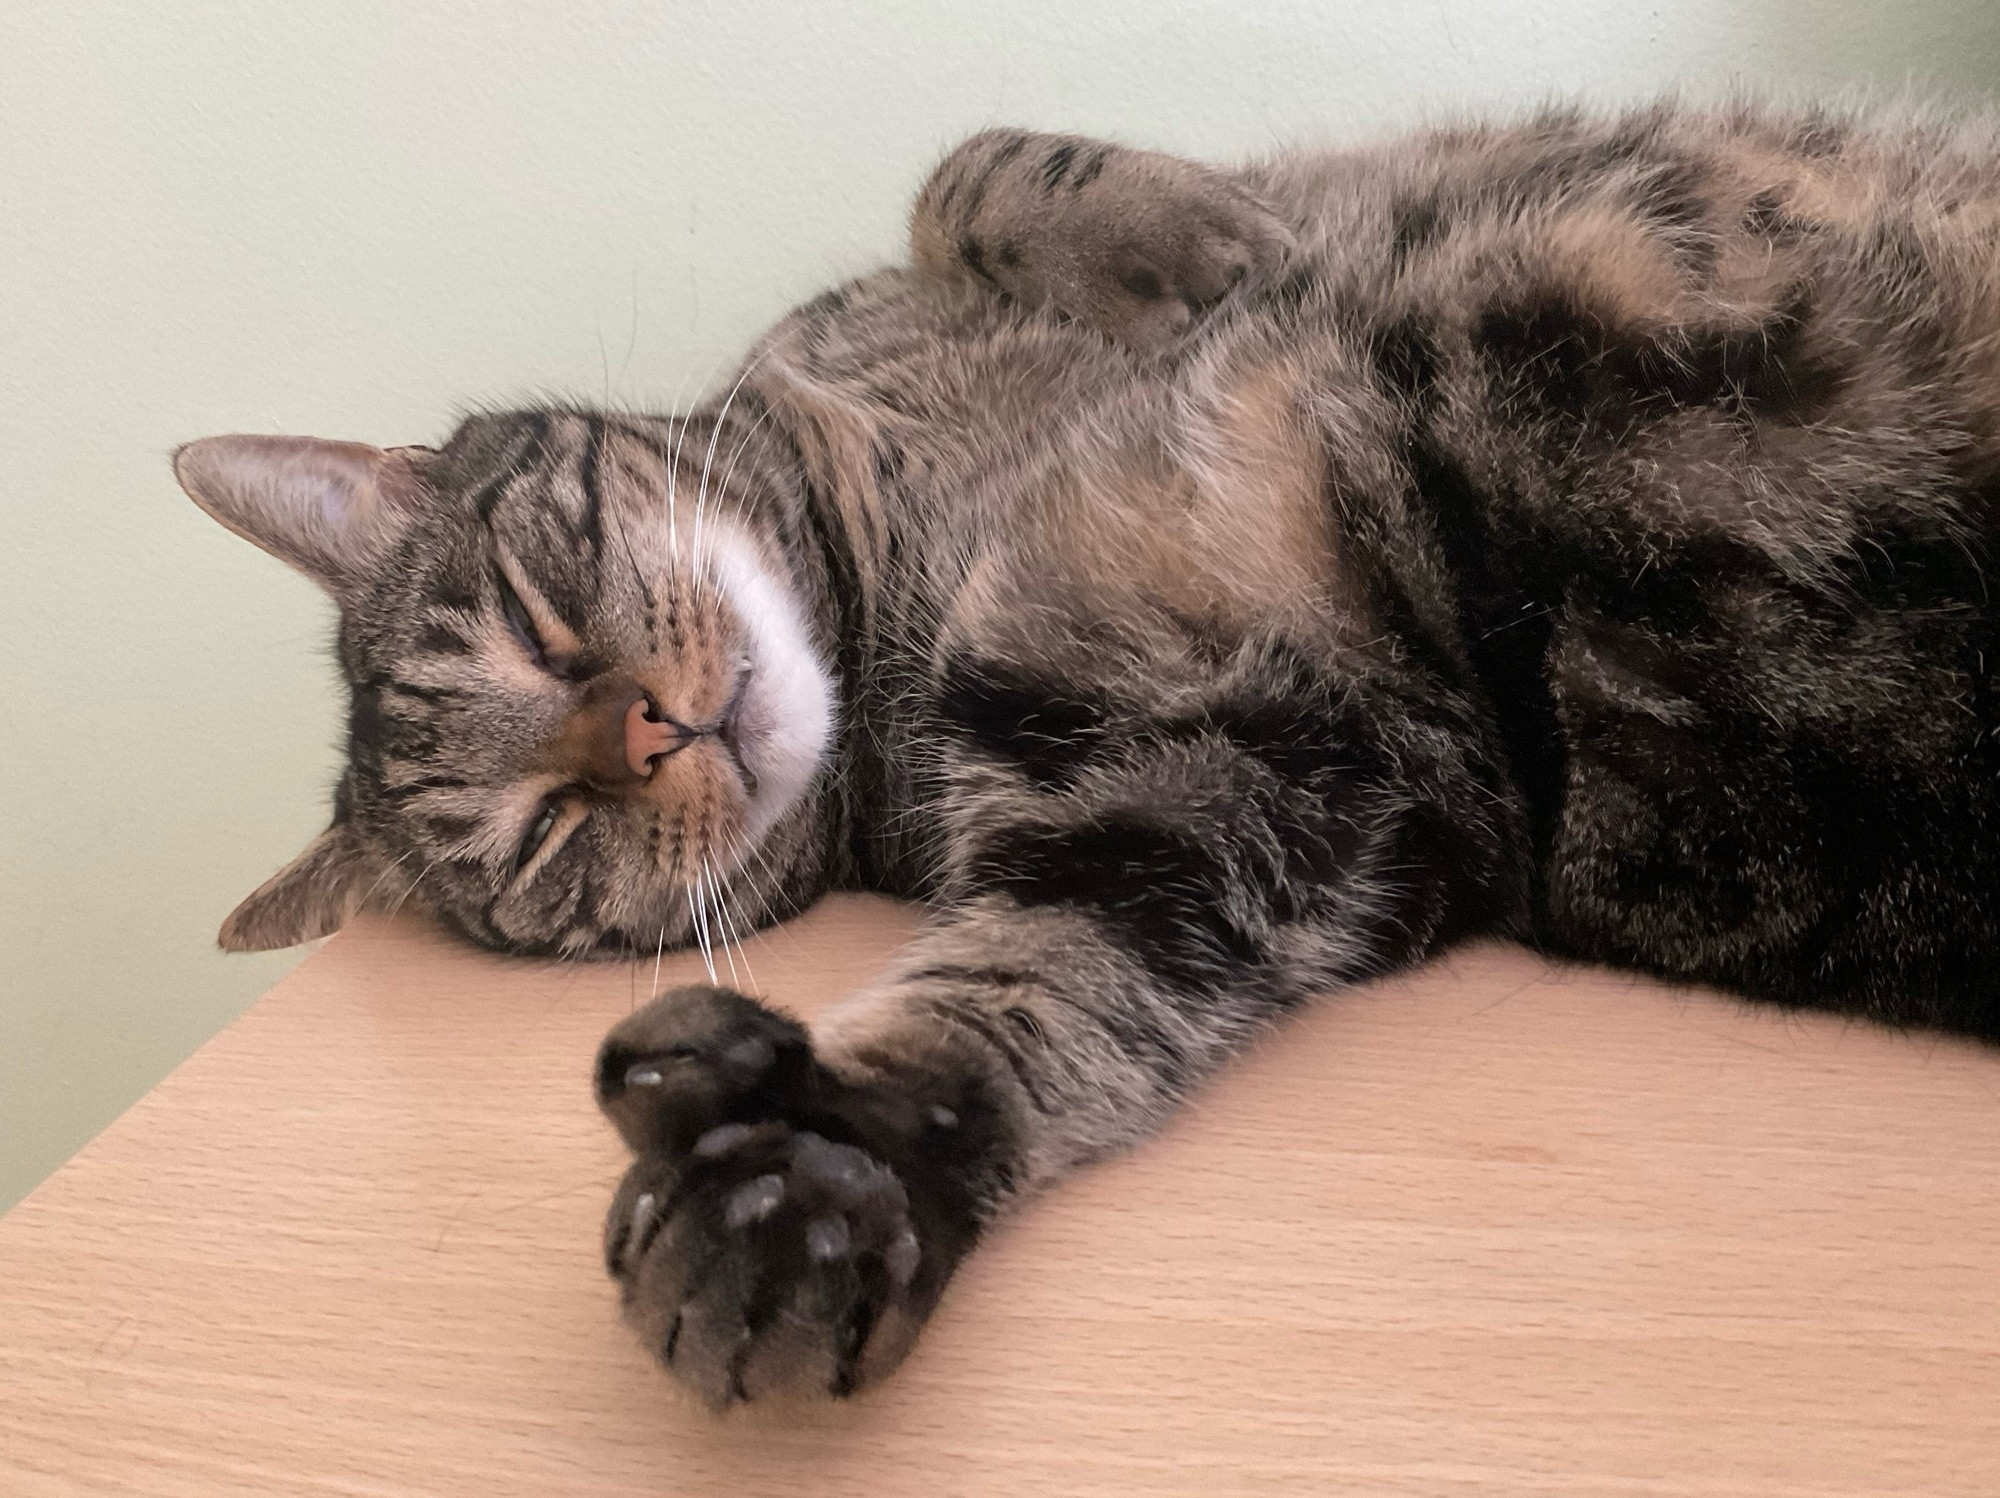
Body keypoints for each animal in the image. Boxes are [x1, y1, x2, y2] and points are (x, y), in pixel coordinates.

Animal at [168, 102, 2000, 1400]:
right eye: (551, 832)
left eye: (538, 615)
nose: (647, 723)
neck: (890, 562)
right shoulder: (1217, 777)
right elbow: (1031, 992)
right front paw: (833, 1172)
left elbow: (969, 166)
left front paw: (1194, 227)